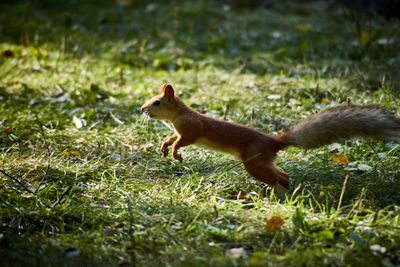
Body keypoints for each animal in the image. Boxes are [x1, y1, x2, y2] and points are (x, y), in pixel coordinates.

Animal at [142, 83, 400, 195]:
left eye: (157, 102)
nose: (142, 109)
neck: (179, 115)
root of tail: (274, 142)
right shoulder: (179, 130)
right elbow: (172, 137)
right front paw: (164, 147)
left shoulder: (193, 129)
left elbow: (183, 140)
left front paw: (176, 153)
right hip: (261, 162)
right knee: (283, 175)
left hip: (254, 162)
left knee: (280, 177)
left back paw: (282, 194)